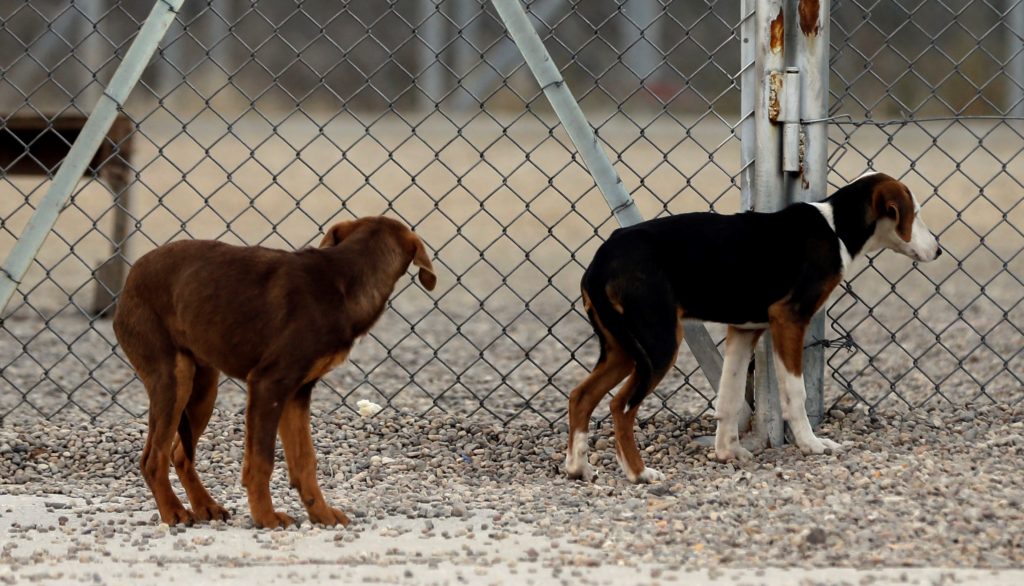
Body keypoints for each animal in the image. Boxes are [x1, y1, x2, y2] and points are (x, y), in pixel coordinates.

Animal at [114, 217, 434, 528]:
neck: (344, 280)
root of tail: (129, 280)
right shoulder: (268, 384)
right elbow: (261, 461)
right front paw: (266, 518)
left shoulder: (297, 392)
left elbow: (305, 460)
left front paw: (321, 514)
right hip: (172, 378)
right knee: (153, 458)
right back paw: (174, 512)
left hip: (203, 387)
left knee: (179, 453)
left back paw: (205, 506)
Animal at [565, 172, 937, 483]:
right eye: (915, 213)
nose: (938, 250)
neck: (835, 227)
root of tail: (600, 261)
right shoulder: (788, 318)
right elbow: (796, 394)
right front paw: (811, 444)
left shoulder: (744, 331)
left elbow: (728, 398)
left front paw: (728, 452)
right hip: (658, 344)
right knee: (621, 406)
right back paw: (638, 472)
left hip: (623, 348)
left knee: (581, 396)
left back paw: (578, 467)